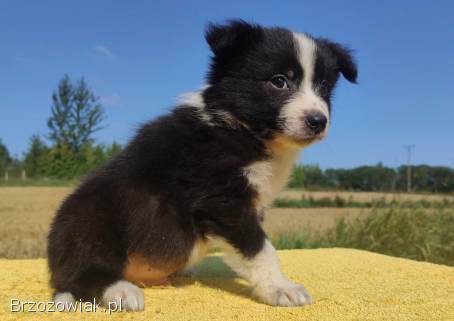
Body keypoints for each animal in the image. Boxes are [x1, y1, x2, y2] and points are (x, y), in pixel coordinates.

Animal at [48, 20, 356, 310]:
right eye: (279, 81)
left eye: (324, 86)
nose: (318, 121)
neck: (244, 130)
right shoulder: (222, 197)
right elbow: (260, 247)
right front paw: (281, 288)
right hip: (92, 220)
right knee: (83, 273)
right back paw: (121, 291)